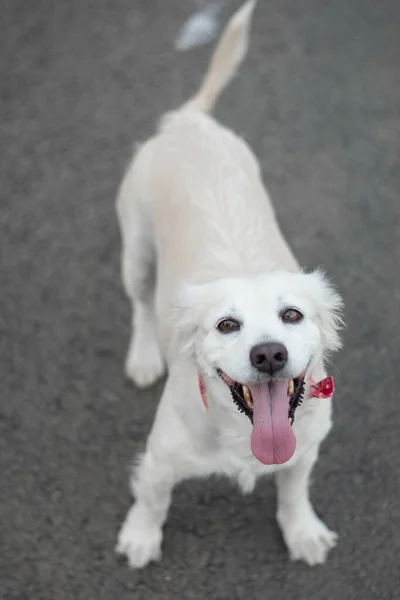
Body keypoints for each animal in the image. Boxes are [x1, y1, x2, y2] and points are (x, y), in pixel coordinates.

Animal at [115, 0, 344, 568]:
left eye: (292, 315)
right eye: (226, 325)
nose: (269, 355)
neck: (246, 434)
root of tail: (188, 119)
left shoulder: (305, 449)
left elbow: (293, 490)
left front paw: (302, 531)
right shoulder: (159, 458)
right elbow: (152, 498)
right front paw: (140, 537)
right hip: (136, 252)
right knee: (140, 306)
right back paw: (144, 356)